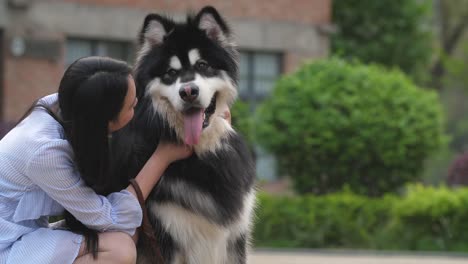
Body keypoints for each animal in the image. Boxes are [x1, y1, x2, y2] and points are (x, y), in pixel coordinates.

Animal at [110, 6, 256, 264]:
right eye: (171, 72)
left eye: (203, 65)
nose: (188, 91)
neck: (200, 153)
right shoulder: (166, 239)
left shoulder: (235, 239)